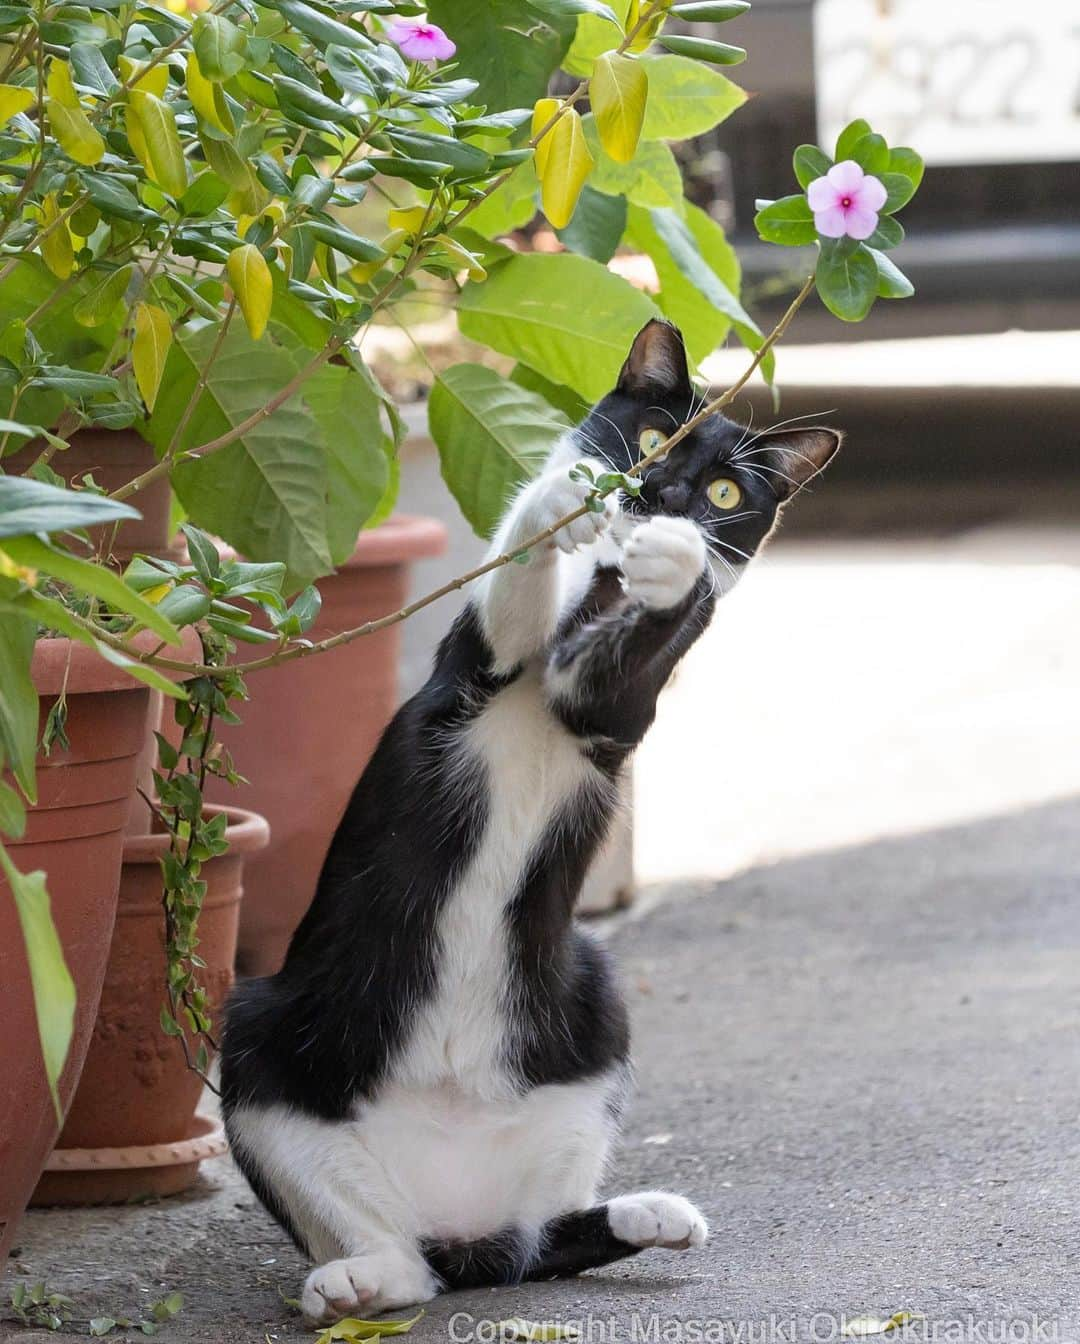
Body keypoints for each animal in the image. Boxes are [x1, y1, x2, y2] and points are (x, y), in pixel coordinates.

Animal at [221, 322, 843, 1322]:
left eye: (724, 492)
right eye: (654, 438)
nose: (665, 495)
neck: (604, 583)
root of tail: (458, 1219)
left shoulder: (613, 713)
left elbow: (626, 660)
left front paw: (674, 561)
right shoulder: (478, 661)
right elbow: (516, 593)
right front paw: (560, 497)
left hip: (595, 1004)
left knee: (533, 1244)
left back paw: (649, 1213)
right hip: (262, 1029)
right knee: (398, 1258)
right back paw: (358, 1277)